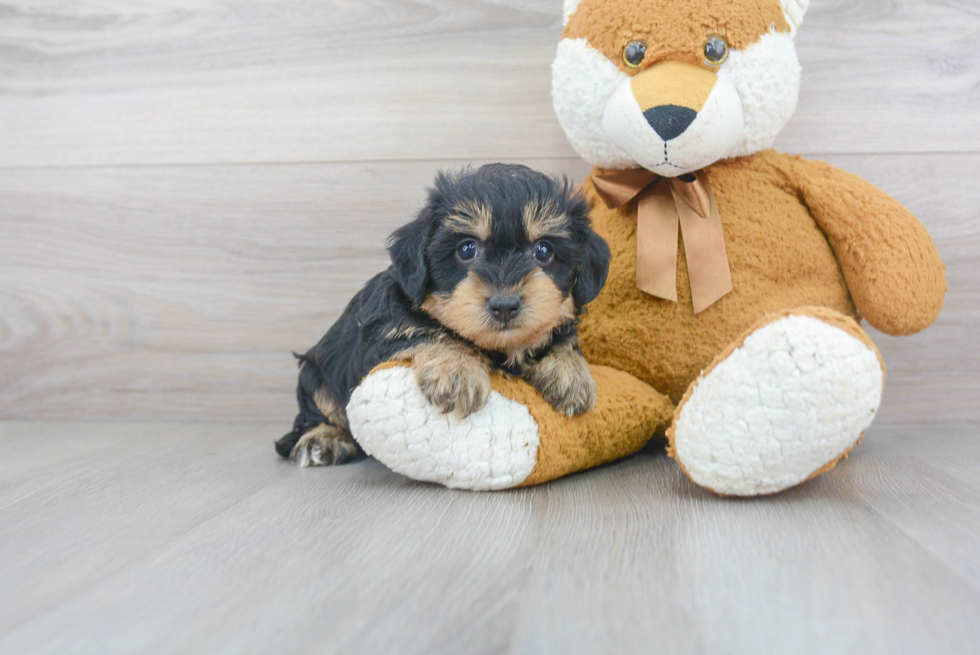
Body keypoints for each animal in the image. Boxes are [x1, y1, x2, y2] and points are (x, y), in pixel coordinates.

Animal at [276, 163, 608, 466]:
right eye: (466, 249)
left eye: (543, 251)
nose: (505, 305)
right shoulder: (385, 325)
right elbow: (428, 330)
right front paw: (457, 372)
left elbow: (561, 336)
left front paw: (570, 372)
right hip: (315, 374)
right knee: (319, 410)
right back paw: (323, 439)